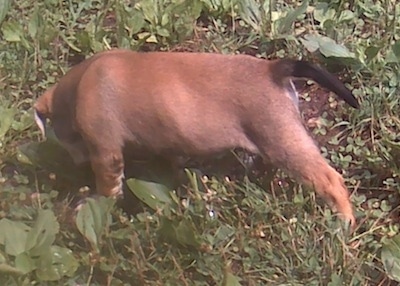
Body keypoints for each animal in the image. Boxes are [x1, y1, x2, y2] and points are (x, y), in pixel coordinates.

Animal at [33, 49, 360, 227]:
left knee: (330, 179)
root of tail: (272, 69)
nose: (76, 165)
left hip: (284, 141)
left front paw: (99, 206)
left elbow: (108, 189)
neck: (78, 86)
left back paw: (343, 222)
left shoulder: (106, 153)